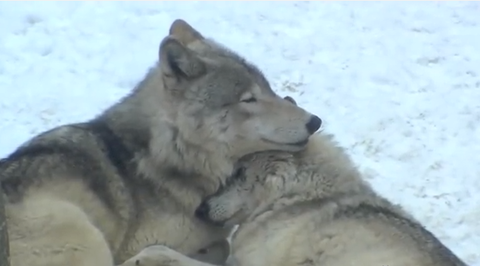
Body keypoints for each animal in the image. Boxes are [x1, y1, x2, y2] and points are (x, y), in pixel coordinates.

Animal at [0, 19, 322, 266]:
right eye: (248, 99)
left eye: (269, 90)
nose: (315, 121)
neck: (172, 156)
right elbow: (219, 246)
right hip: (84, 234)